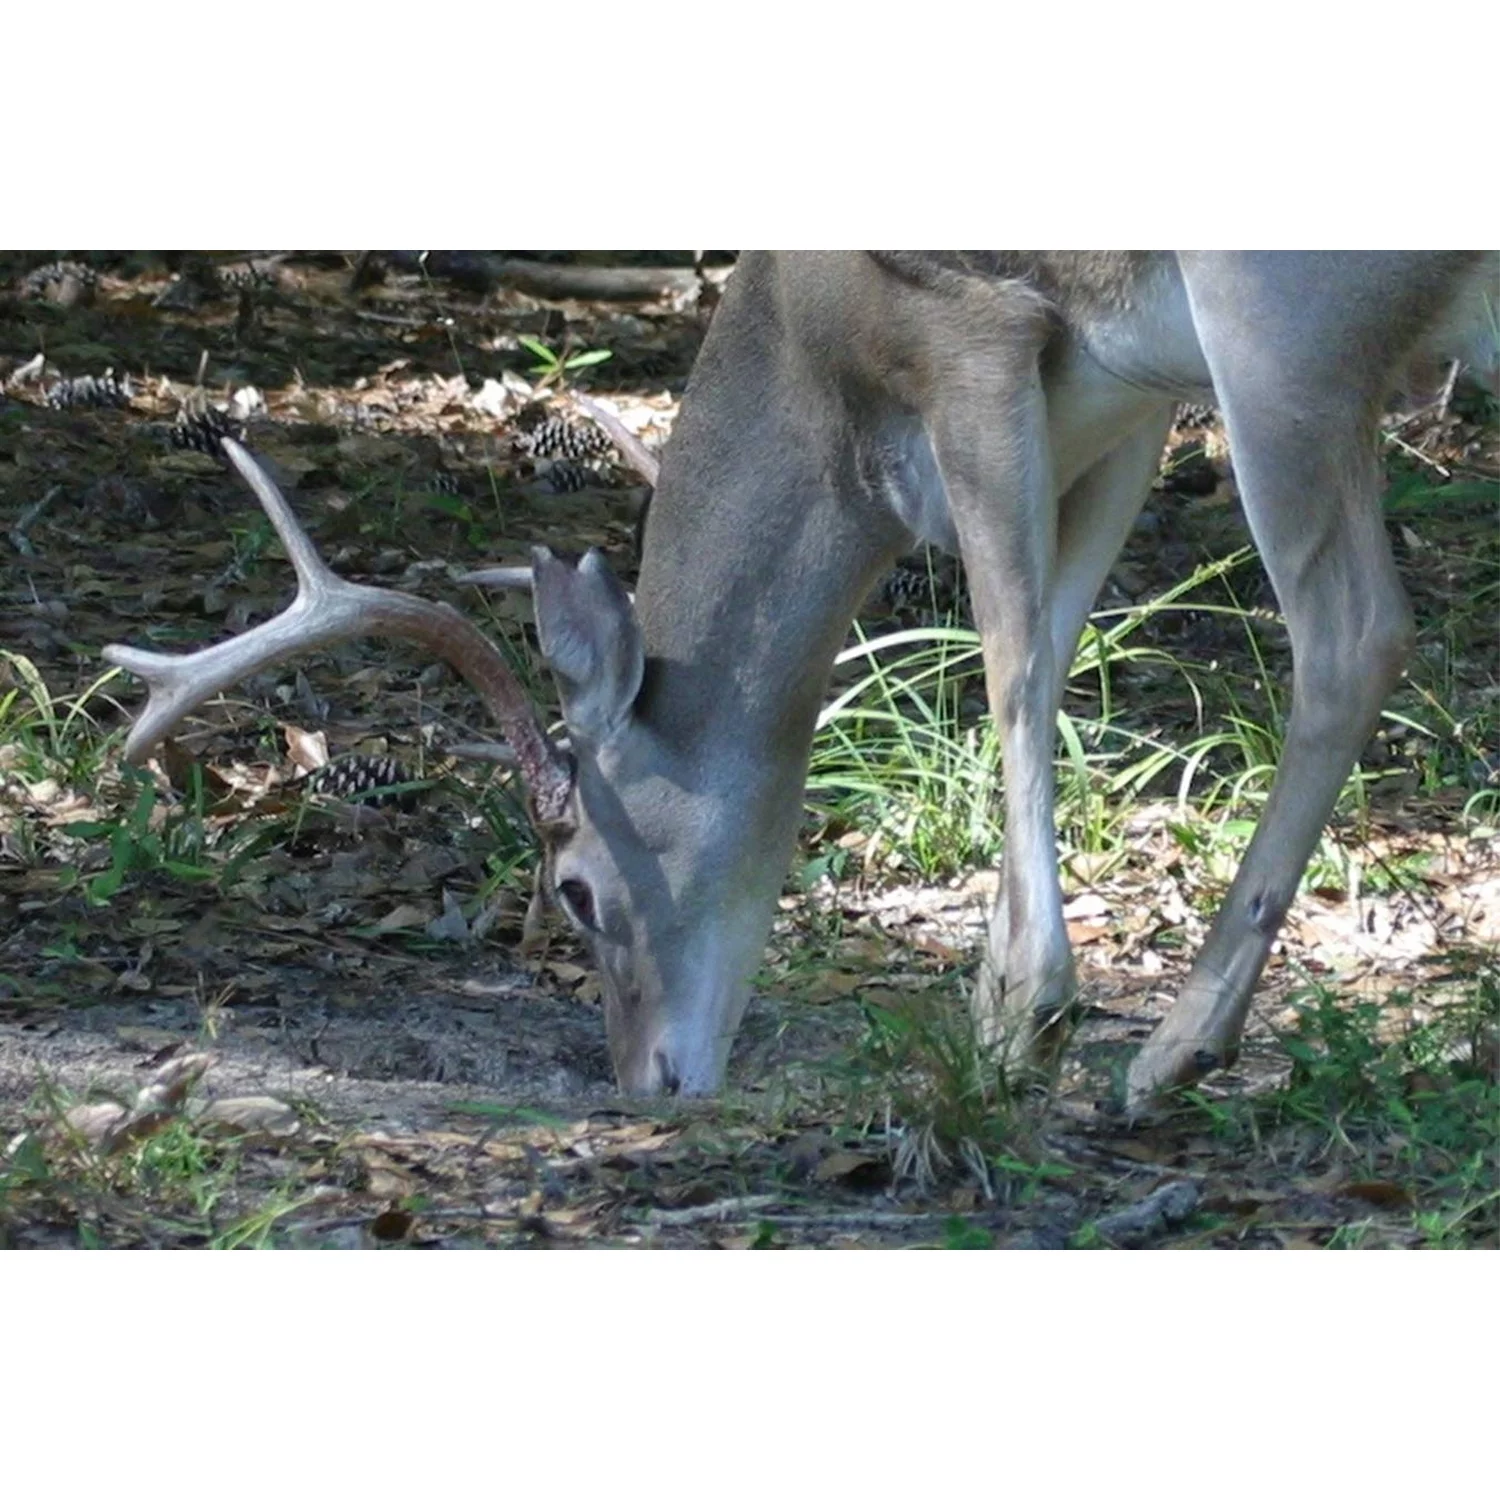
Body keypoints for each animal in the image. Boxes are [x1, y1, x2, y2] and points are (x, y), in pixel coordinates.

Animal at [105, 252, 1499, 1111]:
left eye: (574, 889)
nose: (649, 1081)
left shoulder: (973, 330)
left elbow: (1011, 667)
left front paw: (1020, 1017)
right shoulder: (1124, 406)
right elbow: (1051, 648)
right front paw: (993, 999)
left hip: (1283, 326)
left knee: (1354, 632)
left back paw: (1177, 1050)